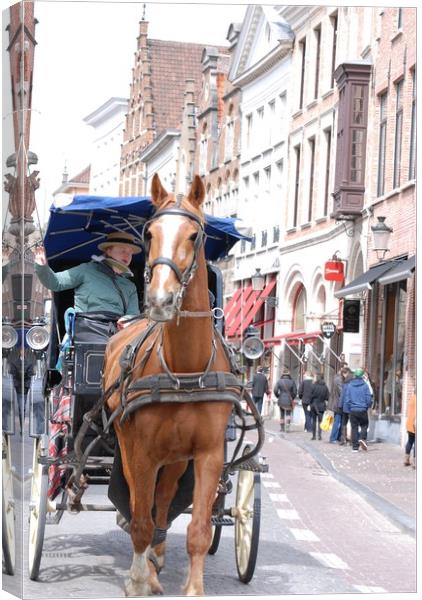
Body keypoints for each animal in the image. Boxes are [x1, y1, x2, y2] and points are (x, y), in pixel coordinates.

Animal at [102, 173, 234, 596]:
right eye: (149, 233)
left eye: (195, 235)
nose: (160, 299)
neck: (184, 371)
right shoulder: (141, 451)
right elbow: (140, 521)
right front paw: (137, 580)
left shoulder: (209, 453)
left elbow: (198, 530)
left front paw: (192, 588)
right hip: (130, 447)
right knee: (139, 506)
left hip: (175, 458)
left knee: (162, 501)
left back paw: (158, 560)